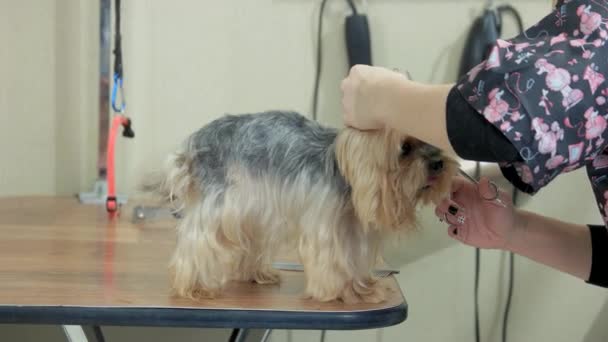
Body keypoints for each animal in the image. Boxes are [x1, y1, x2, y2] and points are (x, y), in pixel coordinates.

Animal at [144, 111, 456, 304]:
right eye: (405, 148)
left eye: (431, 139)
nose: (438, 163)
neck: (349, 175)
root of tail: (194, 142)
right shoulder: (327, 222)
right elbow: (333, 259)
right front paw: (343, 292)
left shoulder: (352, 225)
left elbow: (353, 258)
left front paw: (362, 288)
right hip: (219, 203)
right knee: (197, 240)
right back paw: (194, 286)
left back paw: (256, 274)